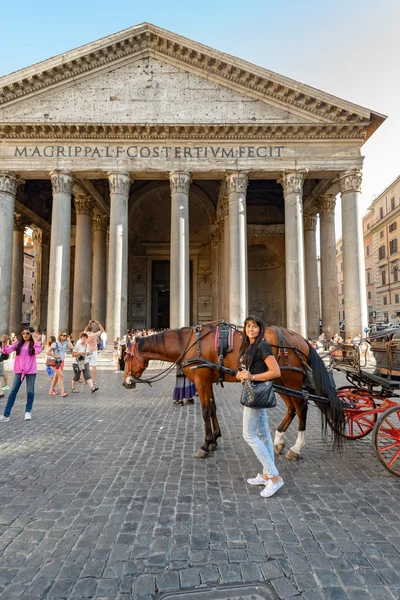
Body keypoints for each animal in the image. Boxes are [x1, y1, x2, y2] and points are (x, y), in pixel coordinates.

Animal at [122, 324, 344, 460]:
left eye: (125, 358)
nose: (126, 383)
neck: (190, 343)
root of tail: (301, 339)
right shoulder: (207, 380)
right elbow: (212, 408)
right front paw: (214, 440)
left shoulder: (201, 379)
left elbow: (205, 411)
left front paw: (205, 446)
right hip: (279, 380)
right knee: (291, 408)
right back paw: (279, 442)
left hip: (291, 379)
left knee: (302, 407)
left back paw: (296, 449)